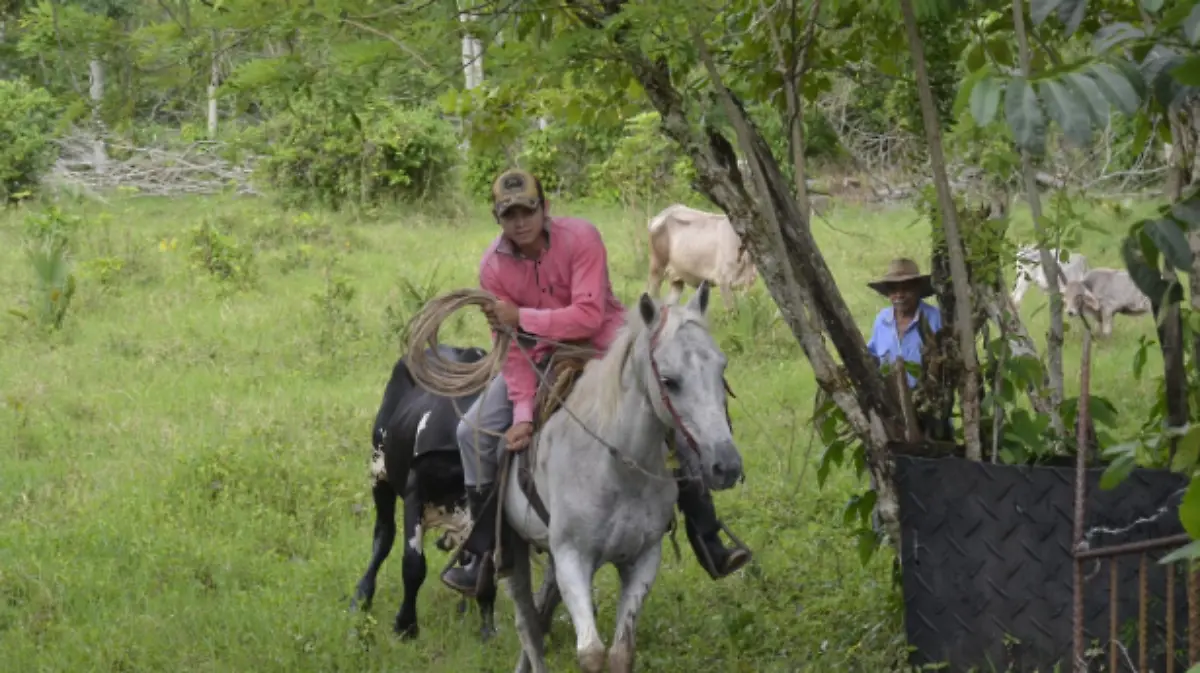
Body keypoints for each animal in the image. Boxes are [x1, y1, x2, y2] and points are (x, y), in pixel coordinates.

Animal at [350, 345, 499, 638]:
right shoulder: (414, 492)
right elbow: (413, 564)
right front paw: (405, 625)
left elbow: (486, 569)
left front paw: (487, 629)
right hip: (379, 470)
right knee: (383, 535)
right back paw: (362, 596)